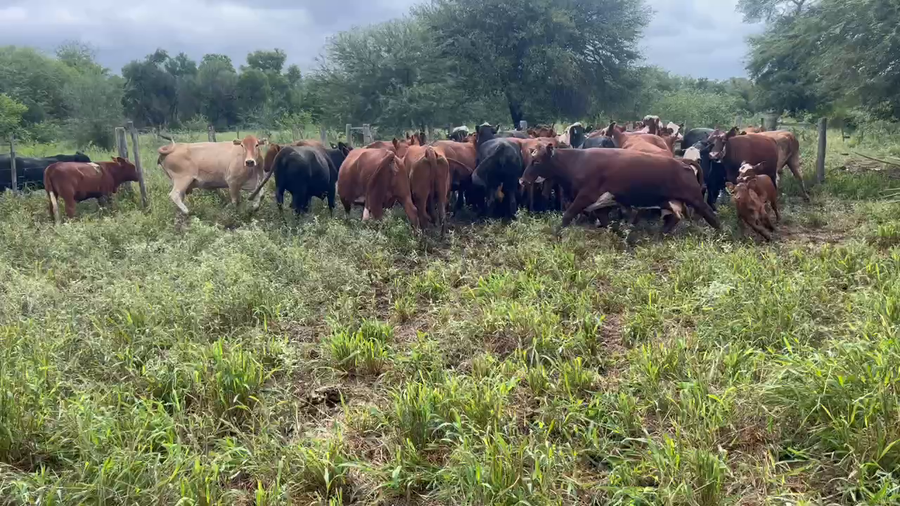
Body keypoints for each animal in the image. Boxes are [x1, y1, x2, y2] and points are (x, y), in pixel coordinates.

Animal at [520, 145, 720, 233]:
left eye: (536, 161)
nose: (522, 180)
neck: (575, 162)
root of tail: (682, 161)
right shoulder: (600, 204)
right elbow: (606, 222)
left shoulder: (586, 196)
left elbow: (567, 216)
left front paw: (556, 235)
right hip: (669, 201)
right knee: (674, 219)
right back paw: (660, 234)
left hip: (695, 199)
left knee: (712, 216)